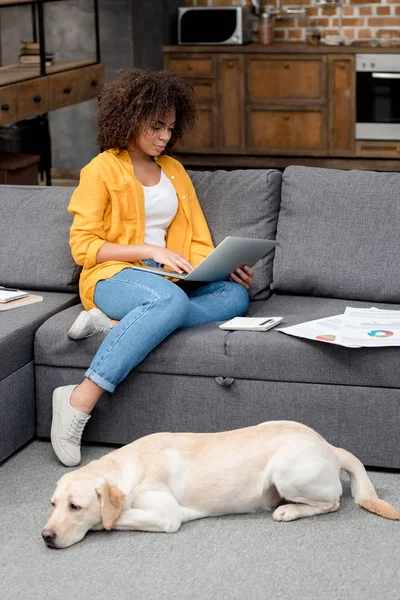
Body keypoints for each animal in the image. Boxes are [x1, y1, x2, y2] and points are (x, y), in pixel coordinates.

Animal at [40, 422, 396, 548]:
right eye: (53, 505)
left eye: (75, 507)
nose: (46, 536)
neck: (125, 467)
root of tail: (330, 447)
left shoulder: (165, 515)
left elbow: (113, 518)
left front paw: (101, 520)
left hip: (286, 470)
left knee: (331, 502)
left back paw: (289, 510)